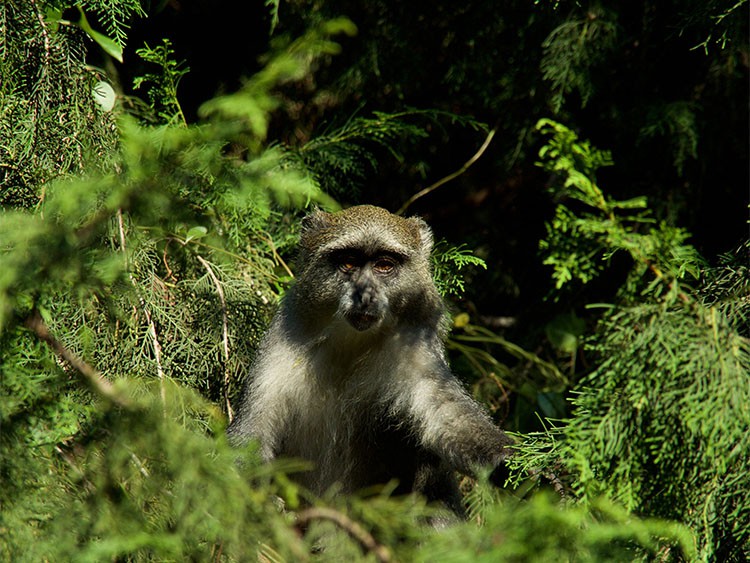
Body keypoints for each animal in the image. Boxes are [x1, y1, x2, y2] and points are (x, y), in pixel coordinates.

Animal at [226, 205, 516, 512]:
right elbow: (252, 433)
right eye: (349, 263)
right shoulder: (283, 345)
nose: (364, 295)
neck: (349, 345)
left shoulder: (415, 352)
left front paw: (510, 461)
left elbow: (449, 416)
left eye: (384, 266)